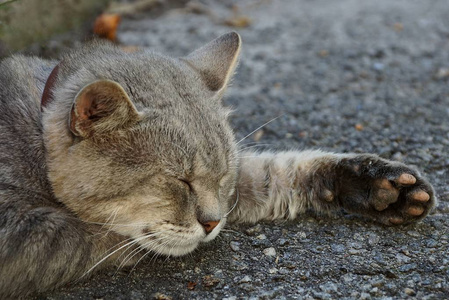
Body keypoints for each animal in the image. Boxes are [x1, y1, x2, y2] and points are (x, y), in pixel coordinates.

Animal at [0, 31, 434, 298]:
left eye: (224, 175)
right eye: (178, 181)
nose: (211, 224)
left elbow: (281, 171)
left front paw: (379, 186)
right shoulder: (22, 234)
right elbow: (100, 236)